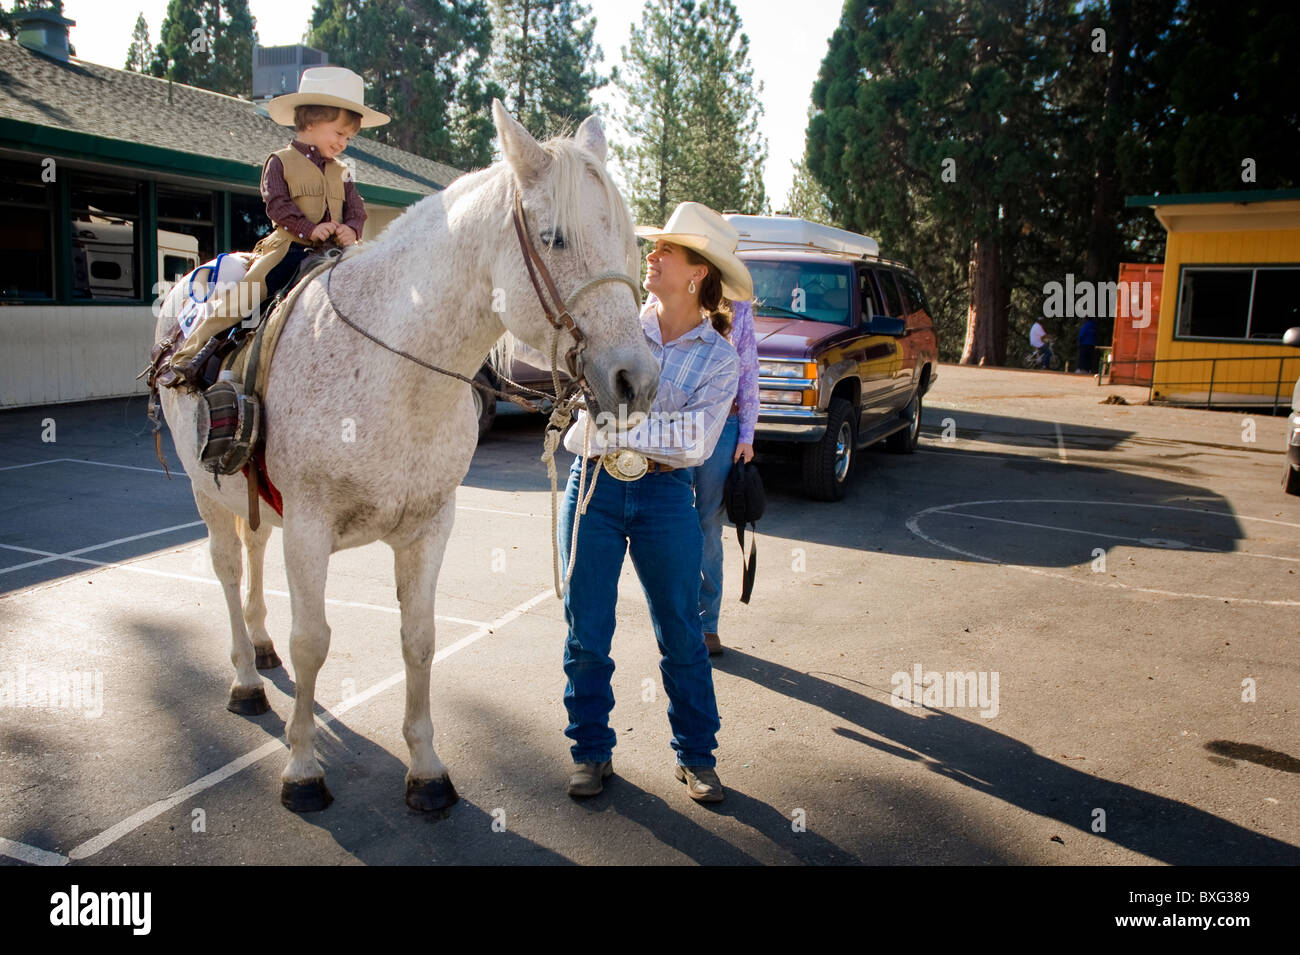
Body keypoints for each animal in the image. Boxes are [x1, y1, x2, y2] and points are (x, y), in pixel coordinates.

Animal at [156, 100, 655, 810]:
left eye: (631, 244)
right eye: (555, 238)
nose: (636, 379)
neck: (393, 372)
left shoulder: (429, 526)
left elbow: (419, 642)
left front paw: (426, 769)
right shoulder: (308, 528)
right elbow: (312, 644)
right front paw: (302, 769)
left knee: (252, 554)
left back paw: (260, 646)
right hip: (206, 493)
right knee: (227, 571)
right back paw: (246, 680)